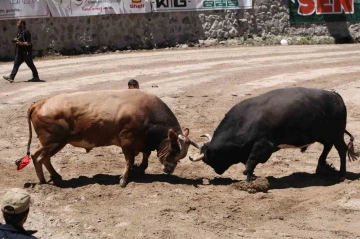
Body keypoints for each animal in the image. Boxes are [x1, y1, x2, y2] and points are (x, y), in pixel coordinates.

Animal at [24, 89, 200, 187]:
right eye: (174, 148)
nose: (169, 169)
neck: (146, 111)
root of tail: (41, 102)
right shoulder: (127, 141)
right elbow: (129, 160)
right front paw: (124, 179)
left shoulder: (142, 142)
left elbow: (145, 154)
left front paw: (140, 169)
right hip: (54, 142)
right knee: (39, 158)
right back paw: (43, 180)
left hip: (51, 143)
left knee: (40, 157)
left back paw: (55, 176)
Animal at [190, 87, 358, 182]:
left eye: (210, 159)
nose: (217, 172)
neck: (244, 121)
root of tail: (335, 95)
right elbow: (249, 162)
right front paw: (252, 176)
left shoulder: (264, 146)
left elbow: (250, 162)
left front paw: (250, 179)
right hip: (326, 136)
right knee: (327, 147)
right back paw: (321, 167)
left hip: (336, 135)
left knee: (341, 150)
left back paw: (342, 174)